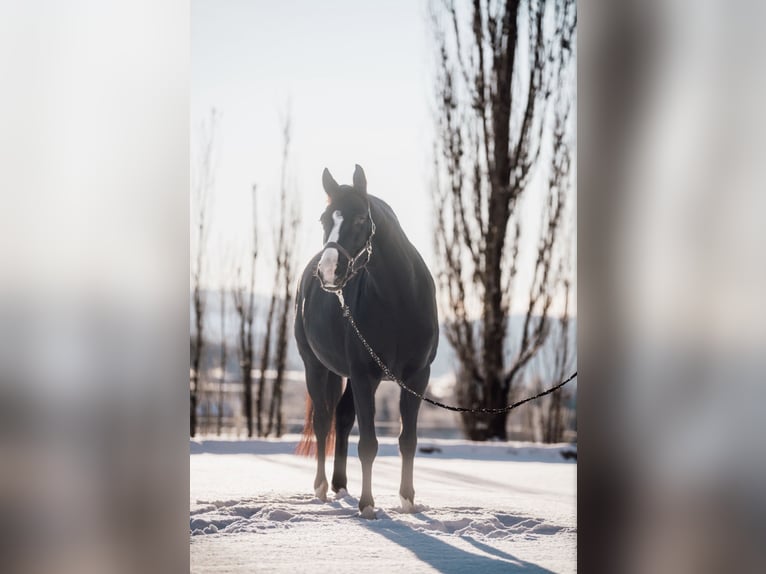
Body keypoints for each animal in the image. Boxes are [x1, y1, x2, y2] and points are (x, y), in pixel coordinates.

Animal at [294, 165, 439, 517]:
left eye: (361, 219)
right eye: (324, 219)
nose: (329, 271)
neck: (400, 301)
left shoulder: (417, 377)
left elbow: (408, 440)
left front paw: (407, 501)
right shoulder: (364, 376)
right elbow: (369, 444)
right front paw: (368, 505)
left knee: (343, 419)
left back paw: (341, 485)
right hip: (315, 367)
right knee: (323, 422)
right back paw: (321, 489)